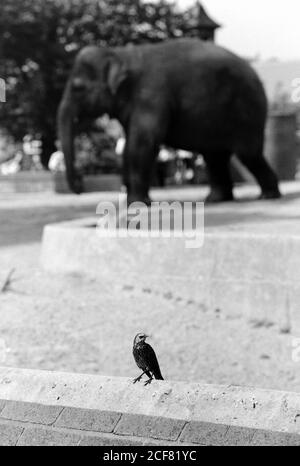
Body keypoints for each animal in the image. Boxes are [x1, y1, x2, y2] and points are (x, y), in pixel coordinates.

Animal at [57, 37, 280, 202]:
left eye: (78, 87)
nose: (79, 186)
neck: (120, 53)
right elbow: (129, 146)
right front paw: (131, 204)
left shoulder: (152, 96)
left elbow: (142, 144)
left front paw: (138, 203)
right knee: (215, 156)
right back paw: (215, 199)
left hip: (248, 111)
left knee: (248, 154)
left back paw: (268, 195)